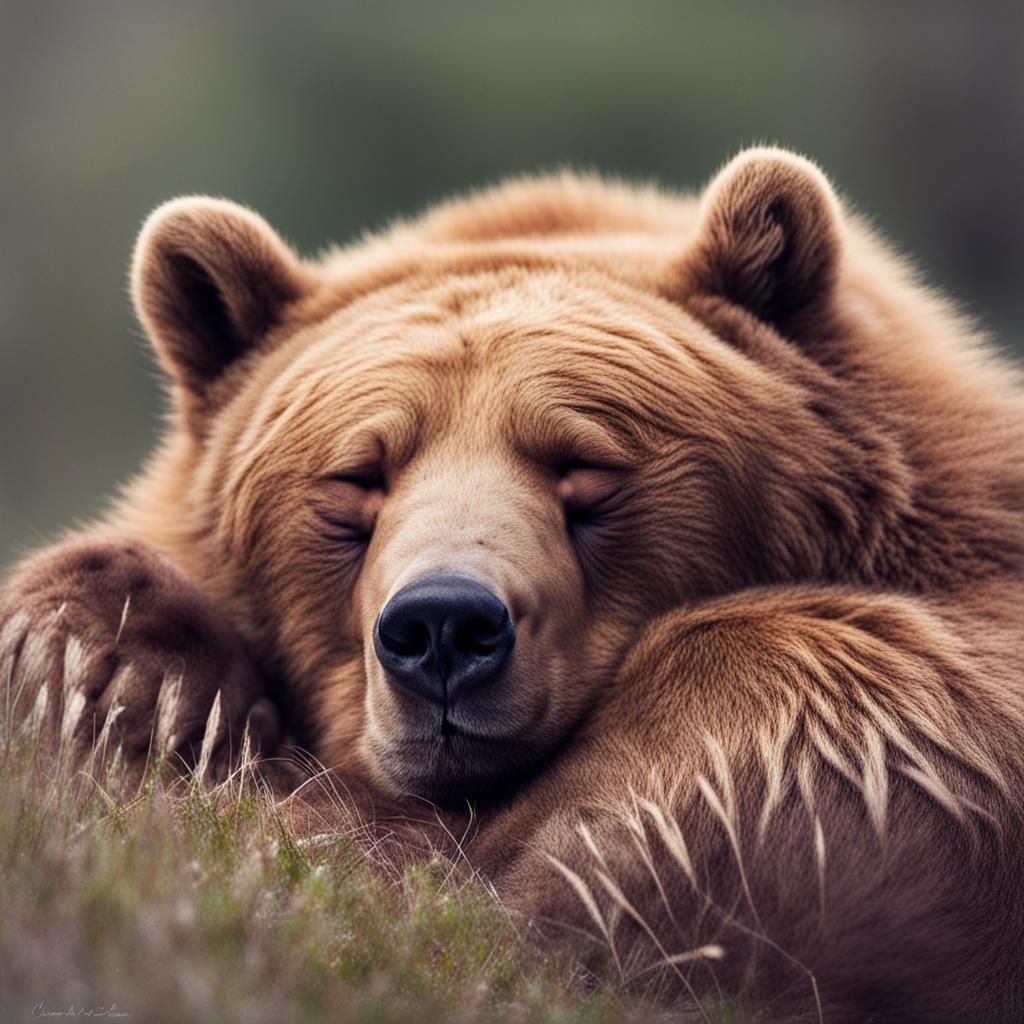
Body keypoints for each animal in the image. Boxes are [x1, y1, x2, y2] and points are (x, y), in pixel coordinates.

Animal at [2, 147, 1023, 1022]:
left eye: (585, 468)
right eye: (357, 479)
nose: (442, 628)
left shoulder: (842, 726)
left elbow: (489, 906)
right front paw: (119, 670)